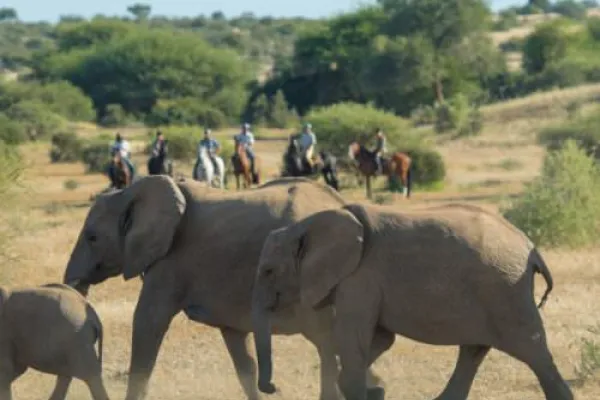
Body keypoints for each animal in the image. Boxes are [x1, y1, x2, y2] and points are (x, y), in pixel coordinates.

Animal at [64, 176, 384, 400]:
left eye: (92, 237)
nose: (274, 387)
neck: (132, 191)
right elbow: (241, 352)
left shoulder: (170, 263)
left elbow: (148, 323)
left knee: (329, 344)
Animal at [251, 203, 576, 400]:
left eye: (268, 271)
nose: (272, 387)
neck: (308, 224)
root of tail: (532, 249)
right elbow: (380, 339)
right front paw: (376, 390)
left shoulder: (359, 279)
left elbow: (353, 339)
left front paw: (365, 390)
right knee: (473, 351)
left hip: (506, 291)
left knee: (534, 352)